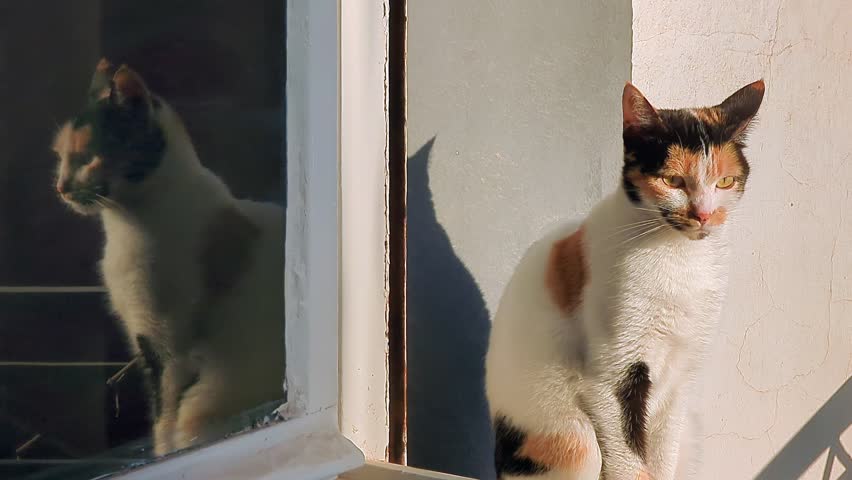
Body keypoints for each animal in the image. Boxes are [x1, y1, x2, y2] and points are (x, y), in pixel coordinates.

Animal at [53, 59, 286, 454]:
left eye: (87, 157)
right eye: (61, 157)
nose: (61, 187)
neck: (124, 224)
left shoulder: (164, 339)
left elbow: (163, 411)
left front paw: (164, 452)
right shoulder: (142, 334)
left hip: (209, 393)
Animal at [486, 80, 764, 478]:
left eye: (725, 181)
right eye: (672, 180)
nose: (704, 215)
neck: (680, 259)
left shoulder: (680, 379)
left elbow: (661, 457)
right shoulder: (613, 375)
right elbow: (630, 461)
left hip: (689, 431)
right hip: (571, 434)